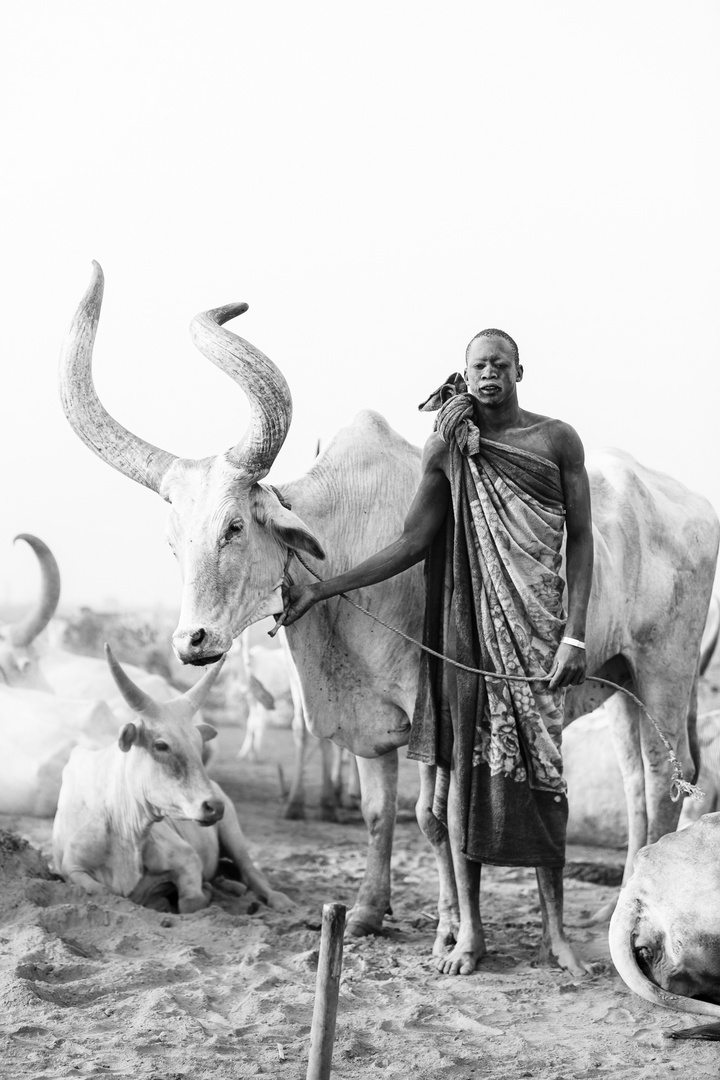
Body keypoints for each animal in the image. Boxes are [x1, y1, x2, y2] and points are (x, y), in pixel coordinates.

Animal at [50, 643, 293, 915]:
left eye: (199, 745)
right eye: (161, 745)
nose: (214, 806)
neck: (121, 825)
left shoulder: (187, 857)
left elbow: (190, 902)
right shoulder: (72, 869)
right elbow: (104, 892)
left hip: (233, 832)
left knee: (251, 872)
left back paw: (276, 899)